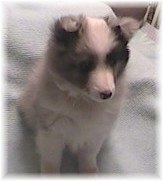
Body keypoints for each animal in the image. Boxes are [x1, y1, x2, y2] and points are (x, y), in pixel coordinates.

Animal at [18, 15, 141, 173]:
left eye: (113, 62)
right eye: (85, 65)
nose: (107, 94)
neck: (83, 99)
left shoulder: (96, 132)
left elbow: (88, 155)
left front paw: (90, 171)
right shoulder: (51, 131)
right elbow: (51, 159)